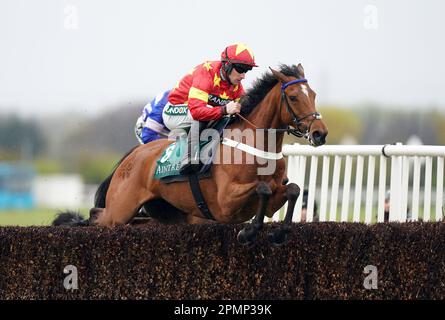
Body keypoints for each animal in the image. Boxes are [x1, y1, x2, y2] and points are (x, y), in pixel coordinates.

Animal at [54, 63, 326, 246]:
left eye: (313, 95)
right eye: (293, 97)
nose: (320, 133)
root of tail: (132, 156)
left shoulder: (272, 198)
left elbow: (292, 190)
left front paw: (279, 233)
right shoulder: (226, 202)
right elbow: (262, 188)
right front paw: (248, 232)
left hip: (167, 213)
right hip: (120, 210)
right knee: (96, 216)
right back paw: (68, 221)